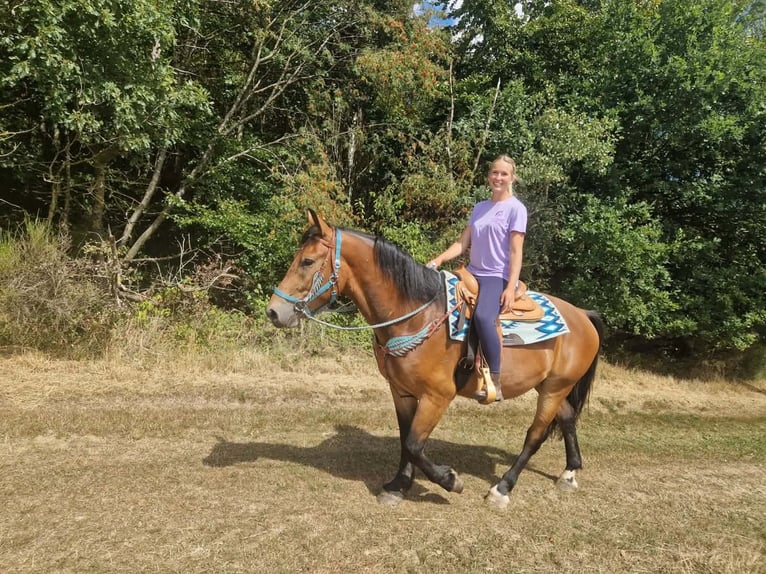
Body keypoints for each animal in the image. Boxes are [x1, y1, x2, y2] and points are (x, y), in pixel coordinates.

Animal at [266, 210, 604, 509]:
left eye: (307, 261)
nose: (274, 311)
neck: (416, 314)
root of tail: (582, 315)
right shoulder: (401, 391)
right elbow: (406, 440)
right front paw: (398, 486)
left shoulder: (438, 395)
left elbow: (415, 443)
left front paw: (449, 480)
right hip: (551, 386)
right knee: (568, 418)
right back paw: (569, 472)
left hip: (555, 387)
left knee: (535, 435)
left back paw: (502, 488)